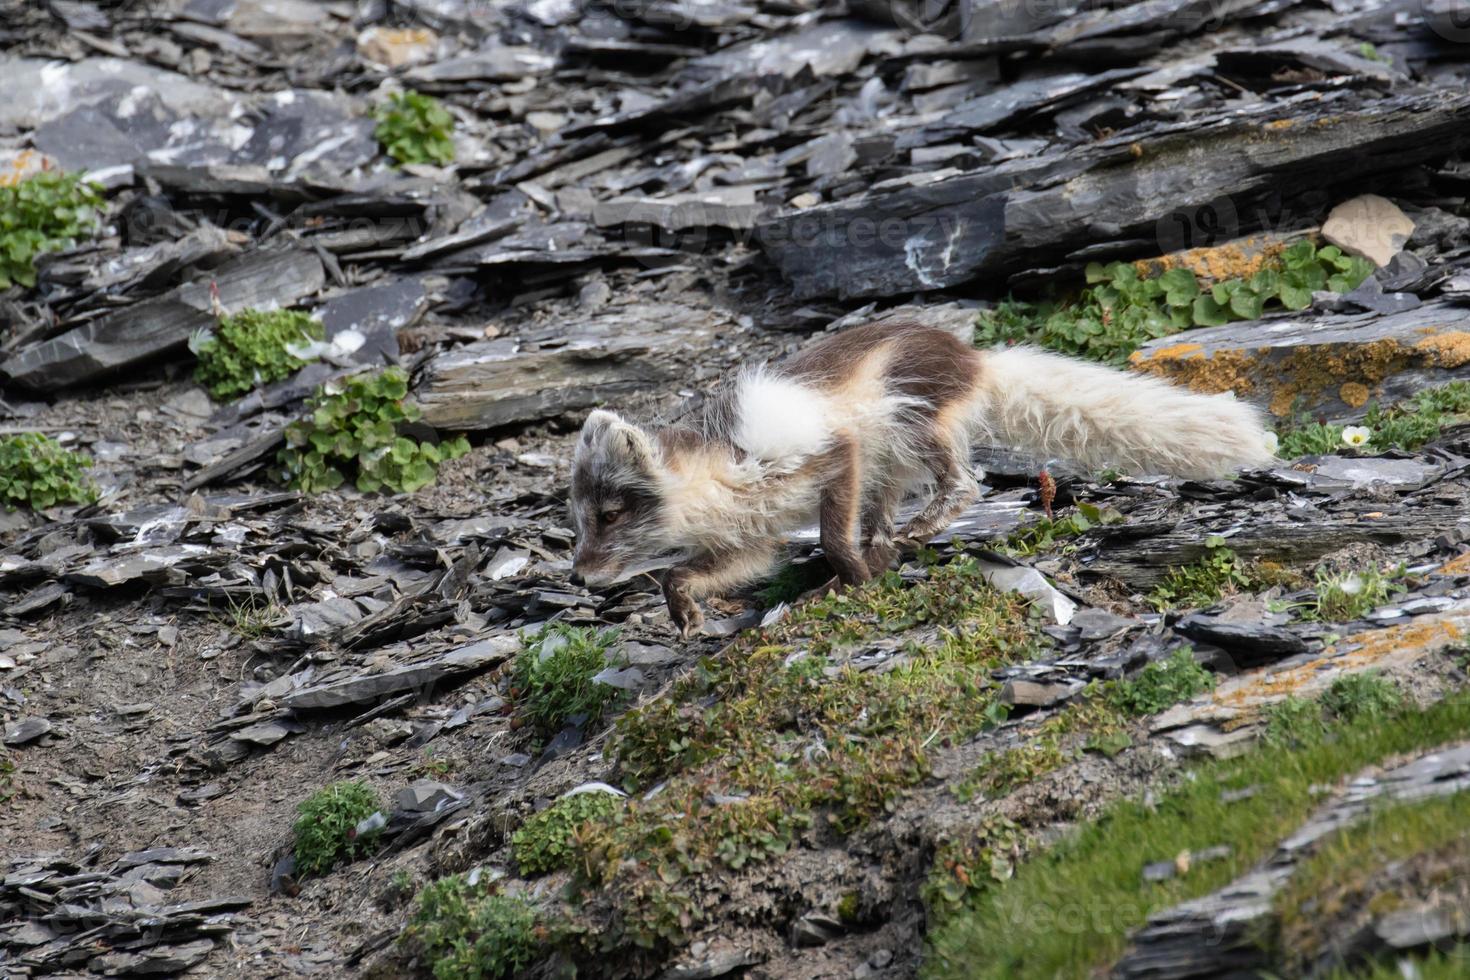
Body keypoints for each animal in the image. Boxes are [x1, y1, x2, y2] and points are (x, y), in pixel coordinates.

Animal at [564, 321, 1275, 640]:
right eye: (578, 519)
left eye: (611, 513)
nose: (577, 575)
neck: (720, 483)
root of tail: (977, 357)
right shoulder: (752, 540)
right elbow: (684, 572)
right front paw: (685, 613)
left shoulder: (832, 454)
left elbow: (833, 536)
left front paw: (850, 582)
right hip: (889, 464)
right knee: (896, 510)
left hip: (907, 422)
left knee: (966, 483)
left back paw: (903, 541)